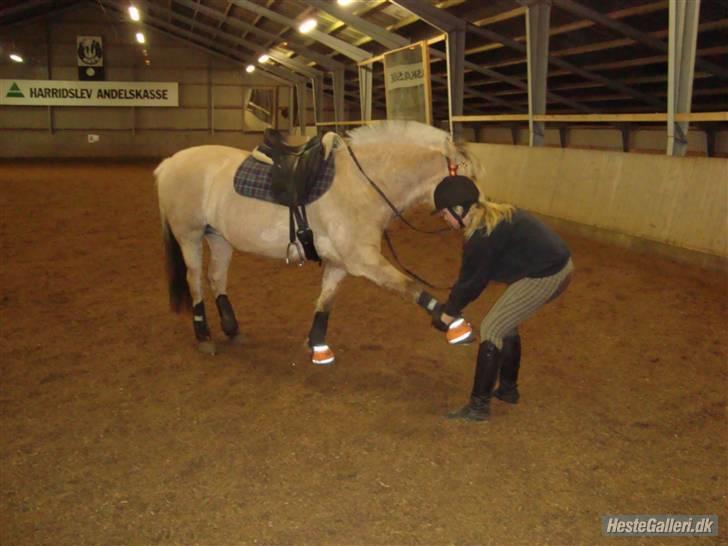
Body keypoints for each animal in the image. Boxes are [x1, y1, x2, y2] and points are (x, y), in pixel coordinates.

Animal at [155, 121, 478, 364]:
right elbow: (410, 286)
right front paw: (454, 324)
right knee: (195, 280)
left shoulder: (339, 262)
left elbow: (326, 301)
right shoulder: (363, 259)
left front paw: (317, 346)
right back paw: (204, 337)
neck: (362, 183)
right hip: (190, 235)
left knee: (216, 278)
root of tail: (168, 163)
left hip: (219, 237)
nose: (475, 221)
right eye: (467, 176)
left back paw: (232, 330)